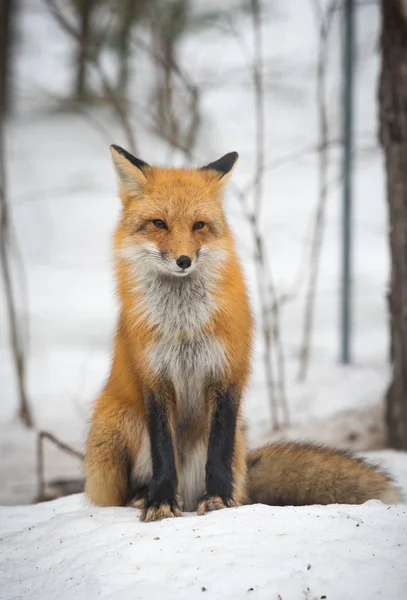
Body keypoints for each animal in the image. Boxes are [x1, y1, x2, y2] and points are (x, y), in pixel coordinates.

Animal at [85, 146, 402, 520]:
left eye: (199, 225)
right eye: (159, 224)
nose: (183, 260)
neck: (184, 325)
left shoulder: (227, 372)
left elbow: (218, 450)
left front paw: (220, 499)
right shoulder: (153, 379)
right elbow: (163, 452)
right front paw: (160, 500)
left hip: (230, 440)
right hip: (115, 428)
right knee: (117, 493)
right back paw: (140, 495)